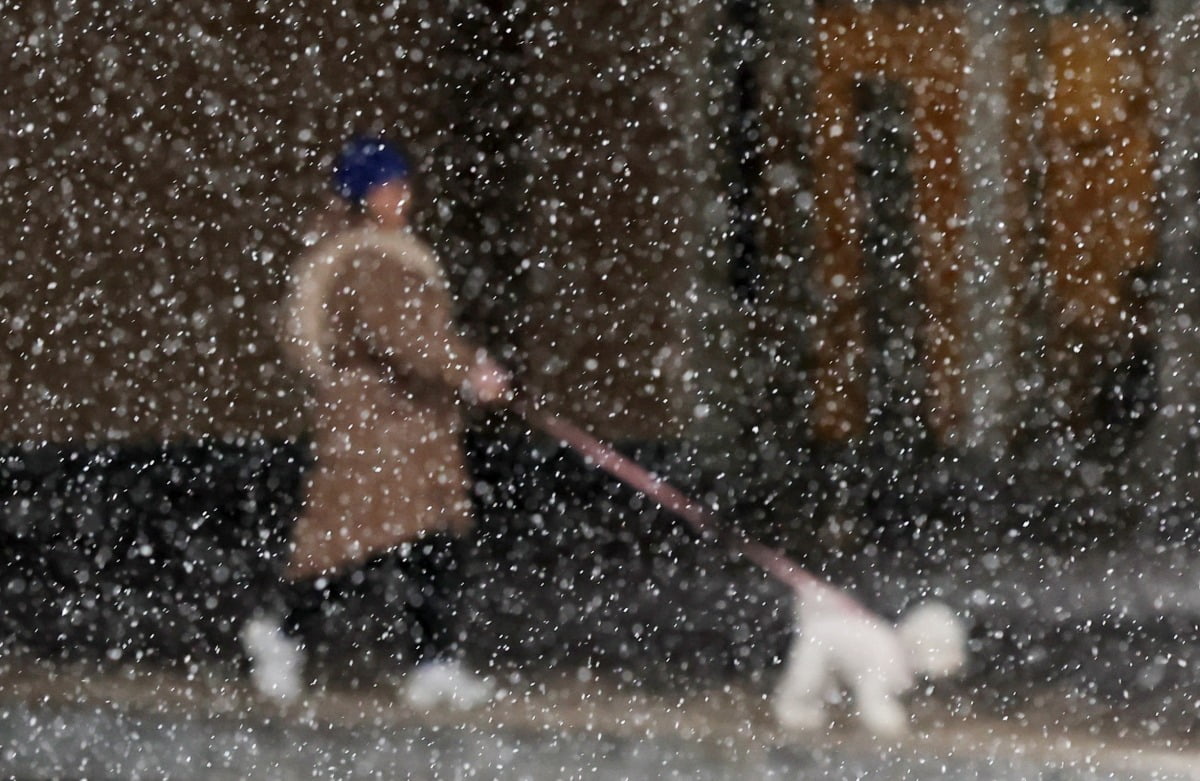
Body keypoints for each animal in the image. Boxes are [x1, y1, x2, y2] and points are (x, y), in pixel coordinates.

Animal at [772, 592, 969, 739]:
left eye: (955, 645)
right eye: (938, 647)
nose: (957, 663)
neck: (901, 652)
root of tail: (811, 624)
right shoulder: (875, 682)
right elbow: (875, 703)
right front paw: (890, 722)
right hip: (812, 668)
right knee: (792, 692)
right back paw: (794, 715)